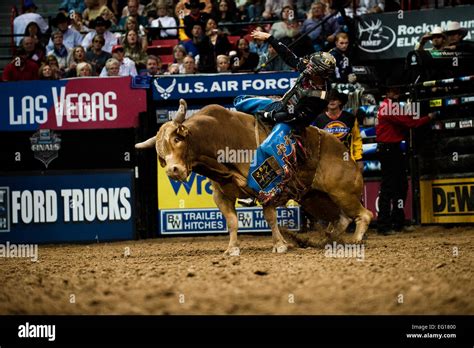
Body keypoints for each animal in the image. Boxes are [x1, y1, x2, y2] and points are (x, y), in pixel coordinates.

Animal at [135, 99, 372, 254]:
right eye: (160, 154)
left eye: (177, 139)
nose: (172, 171)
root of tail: (346, 154)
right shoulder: (221, 195)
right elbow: (232, 221)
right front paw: (232, 248)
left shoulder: (268, 187)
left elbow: (270, 217)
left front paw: (280, 245)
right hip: (315, 198)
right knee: (342, 218)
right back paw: (327, 240)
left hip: (343, 193)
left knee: (364, 214)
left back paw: (355, 240)